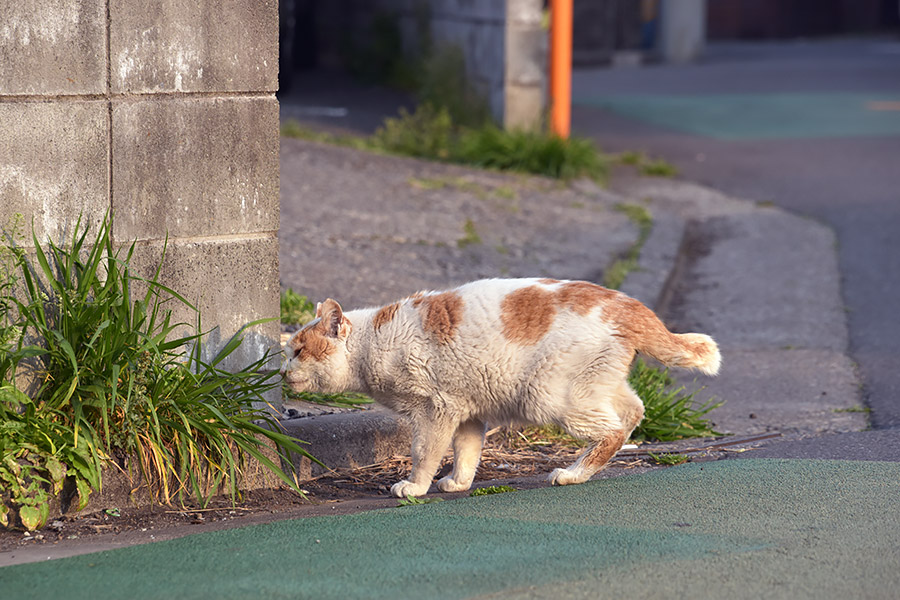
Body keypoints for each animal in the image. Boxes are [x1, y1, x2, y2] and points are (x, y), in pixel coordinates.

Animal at [282, 278, 716, 500]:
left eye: (299, 350)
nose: (282, 369)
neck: (374, 341)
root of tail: (629, 305)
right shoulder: (467, 412)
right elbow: (467, 452)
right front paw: (458, 483)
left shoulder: (436, 409)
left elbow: (424, 452)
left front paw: (415, 486)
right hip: (594, 387)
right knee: (632, 413)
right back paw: (582, 471)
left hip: (550, 397)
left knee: (611, 431)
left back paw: (571, 474)